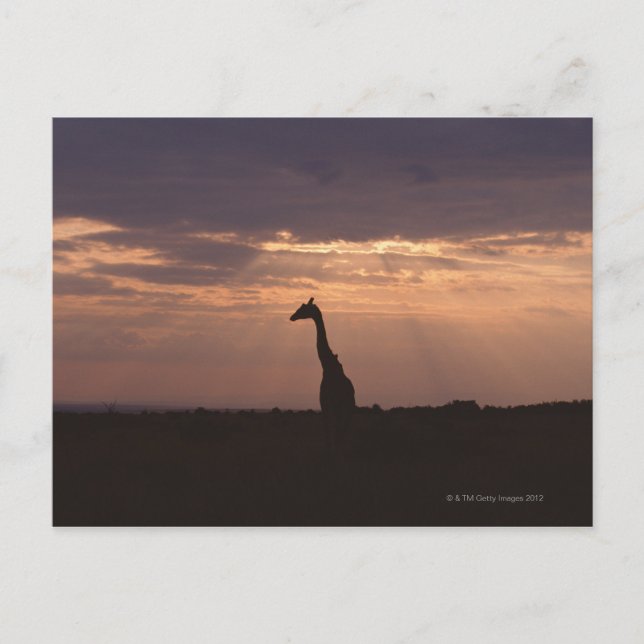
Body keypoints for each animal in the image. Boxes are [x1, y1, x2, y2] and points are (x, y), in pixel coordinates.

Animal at [290, 298, 356, 452]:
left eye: (303, 308)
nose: (292, 317)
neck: (327, 365)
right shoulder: (327, 403)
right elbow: (328, 428)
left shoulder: (328, 401)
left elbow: (329, 428)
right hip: (347, 406)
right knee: (343, 428)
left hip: (344, 405)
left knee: (341, 427)